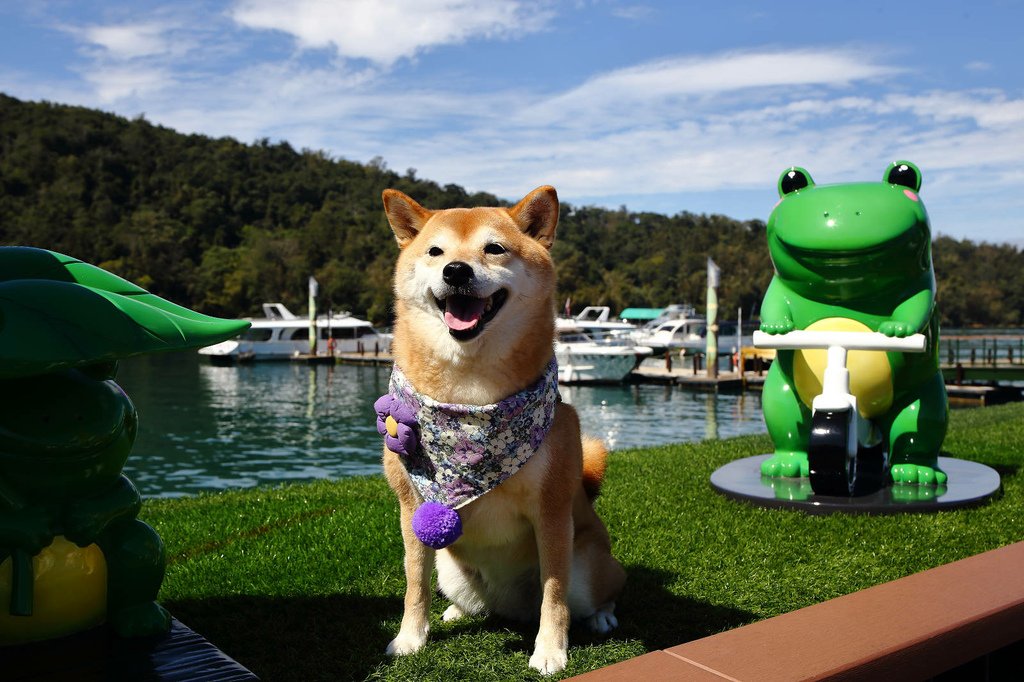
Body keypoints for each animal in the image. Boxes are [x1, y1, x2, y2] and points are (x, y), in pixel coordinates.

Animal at [380, 186, 626, 675]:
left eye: (494, 249)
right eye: (435, 252)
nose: (456, 270)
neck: (470, 399)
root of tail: (511, 609)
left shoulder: (552, 511)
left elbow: (555, 592)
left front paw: (550, 650)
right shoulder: (412, 506)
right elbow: (414, 583)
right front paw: (409, 639)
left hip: (589, 566)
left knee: (598, 592)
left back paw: (601, 617)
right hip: (452, 570)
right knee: (470, 599)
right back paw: (458, 611)